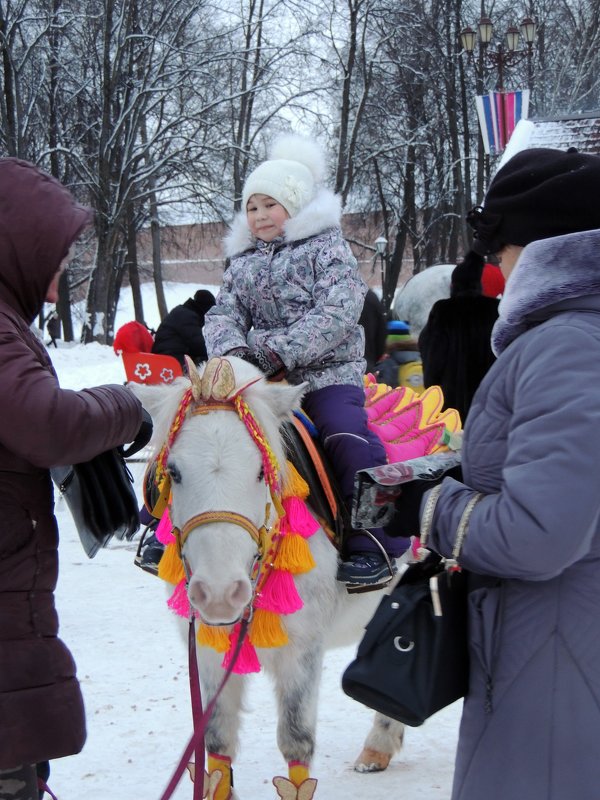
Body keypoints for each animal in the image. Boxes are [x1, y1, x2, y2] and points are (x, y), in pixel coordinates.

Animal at [134, 358, 406, 800]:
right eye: (172, 471)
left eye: (262, 470)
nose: (220, 593)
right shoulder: (207, 648)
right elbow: (216, 740)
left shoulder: (302, 650)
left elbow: (296, 741)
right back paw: (378, 749)